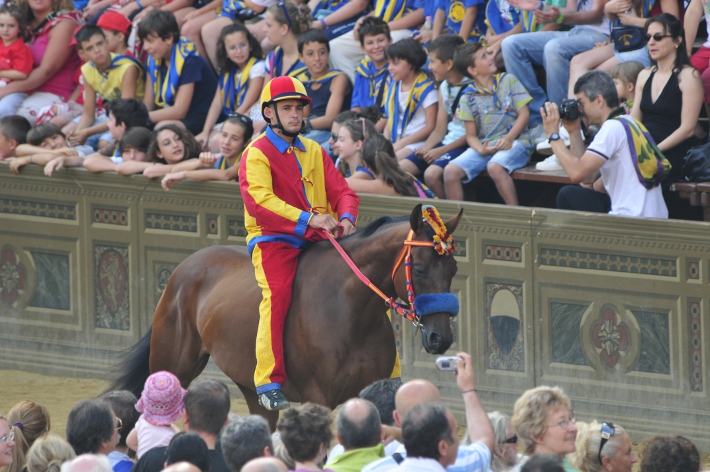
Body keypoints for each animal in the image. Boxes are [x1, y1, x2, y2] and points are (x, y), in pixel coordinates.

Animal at [111, 205, 464, 426]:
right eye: (419, 268)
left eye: (453, 269)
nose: (441, 337)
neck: (350, 312)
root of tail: (185, 268)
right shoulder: (317, 397)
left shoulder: (376, 393)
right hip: (172, 366)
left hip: (250, 386)